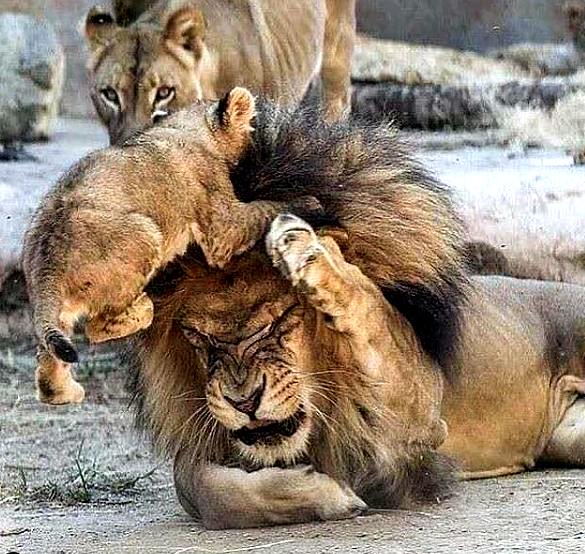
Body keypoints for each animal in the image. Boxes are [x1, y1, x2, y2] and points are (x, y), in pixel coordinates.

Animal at [117, 97, 584, 528]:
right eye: (200, 339)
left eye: (281, 321)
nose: (243, 400)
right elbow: (198, 487)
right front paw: (326, 496)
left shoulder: (424, 416)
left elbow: (368, 307)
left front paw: (304, 247)